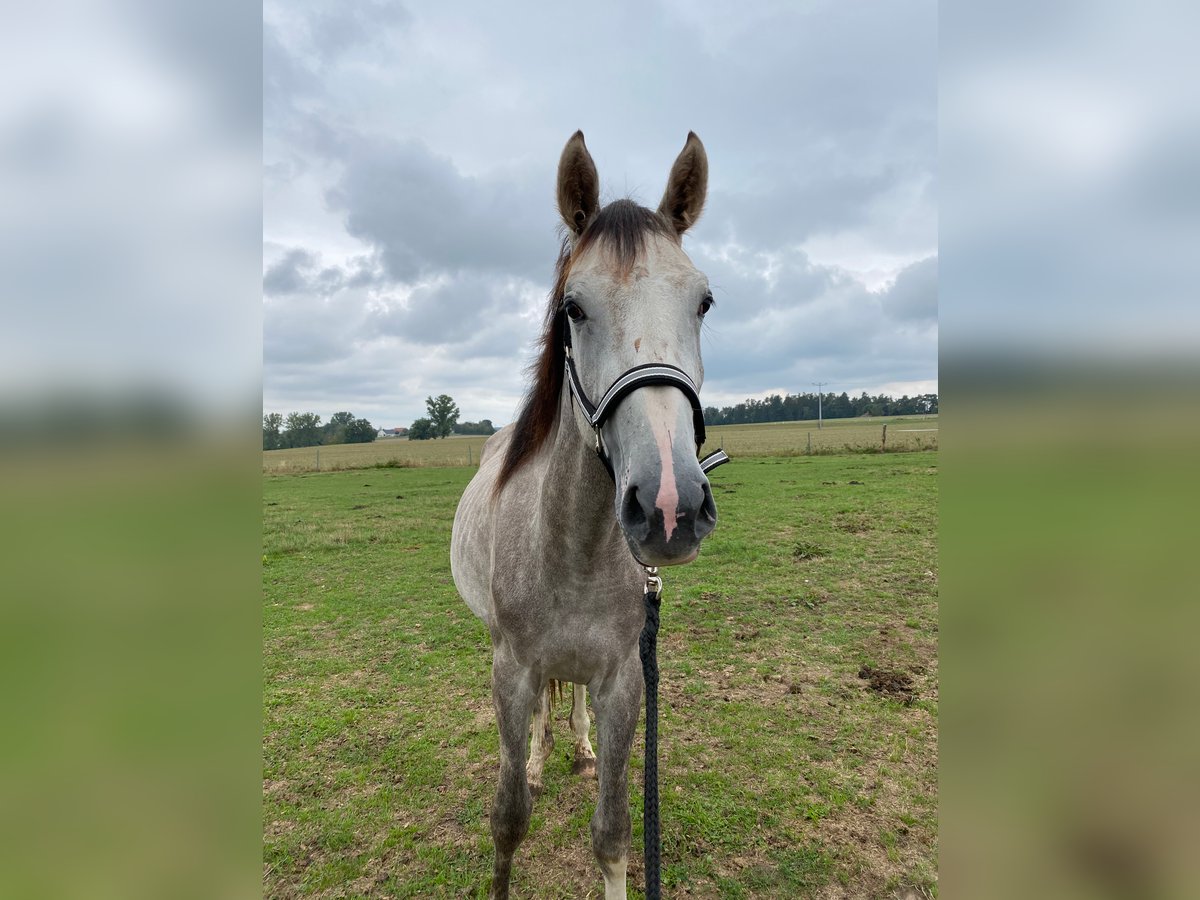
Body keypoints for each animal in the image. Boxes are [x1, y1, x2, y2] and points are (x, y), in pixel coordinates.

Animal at [448, 130, 715, 897]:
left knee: (569, 704)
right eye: (573, 307)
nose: (669, 505)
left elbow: (613, 832)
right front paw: (527, 783)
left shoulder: (624, 680)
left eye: (704, 303)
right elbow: (508, 818)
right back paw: (542, 758)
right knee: (543, 711)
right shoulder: (509, 672)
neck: (572, 549)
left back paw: (579, 745)